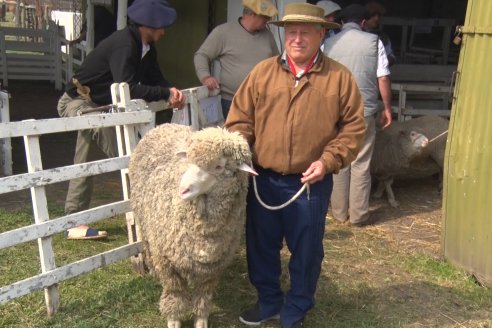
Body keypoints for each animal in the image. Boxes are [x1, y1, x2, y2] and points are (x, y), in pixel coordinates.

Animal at [130, 123, 254, 328]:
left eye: (219, 166)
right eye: (189, 160)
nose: (183, 189)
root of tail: (164, 125)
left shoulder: (213, 268)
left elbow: (203, 298)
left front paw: (201, 320)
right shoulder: (167, 263)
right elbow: (174, 295)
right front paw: (173, 319)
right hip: (144, 223)